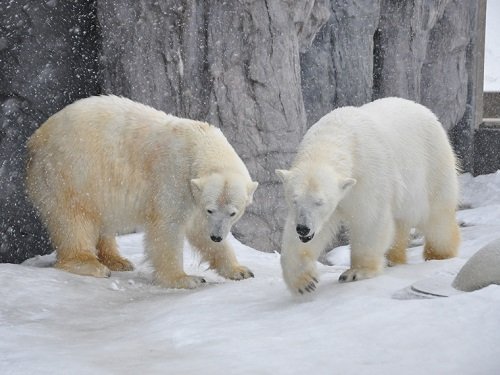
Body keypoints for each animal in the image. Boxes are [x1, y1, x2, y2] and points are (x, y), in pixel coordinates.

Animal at [26, 95, 258, 290]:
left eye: (233, 212)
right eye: (211, 209)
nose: (217, 236)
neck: (198, 142)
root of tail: (35, 139)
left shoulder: (194, 195)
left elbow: (199, 229)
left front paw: (240, 270)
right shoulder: (172, 175)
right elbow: (167, 227)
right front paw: (184, 278)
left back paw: (117, 260)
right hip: (70, 171)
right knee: (73, 218)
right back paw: (90, 264)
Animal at [278, 97, 460, 296]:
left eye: (320, 202)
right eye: (294, 200)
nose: (303, 229)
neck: (337, 134)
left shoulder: (368, 173)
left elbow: (369, 219)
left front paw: (355, 272)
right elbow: (304, 234)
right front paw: (304, 282)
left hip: (432, 166)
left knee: (436, 216)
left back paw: (438, 253)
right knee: (399, 224)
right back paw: (393, 258)